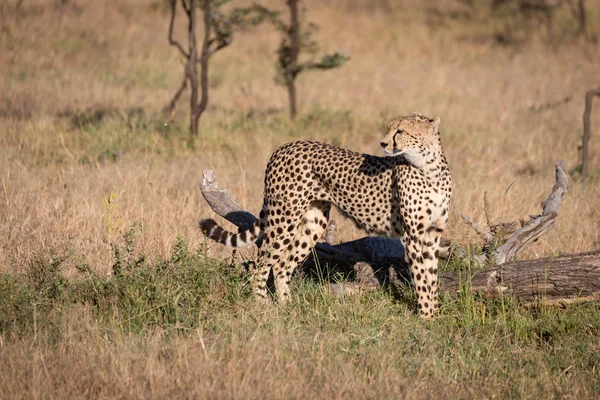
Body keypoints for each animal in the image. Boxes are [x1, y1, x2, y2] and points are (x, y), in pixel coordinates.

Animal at [199, 112, 452, 318]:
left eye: (400, 131)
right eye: (390, 129)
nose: (383, 143)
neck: (429, 168)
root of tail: (284, 147)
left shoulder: (432, 234)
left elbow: (431, 276)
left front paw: (435, 315)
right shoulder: (413, 235)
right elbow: (421, 277)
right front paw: (426, 317)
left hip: (315, 223)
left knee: (281, 264)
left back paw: (288, 306)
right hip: (284, 219)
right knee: (262, 263)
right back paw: (264, 306)